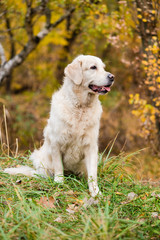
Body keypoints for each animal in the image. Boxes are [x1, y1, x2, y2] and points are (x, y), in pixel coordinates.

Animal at [4, 55, 114, 198]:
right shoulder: (56, 142)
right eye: (93, 67)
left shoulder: (91, 146)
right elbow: (58, 167)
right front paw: (59, 183)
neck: (80, 107)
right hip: (38, 157)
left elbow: (92, 174)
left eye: (103, 67)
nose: (112, 77)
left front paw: (95, 191)